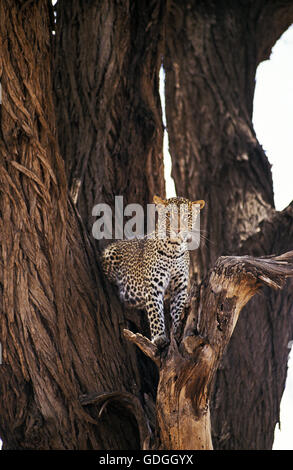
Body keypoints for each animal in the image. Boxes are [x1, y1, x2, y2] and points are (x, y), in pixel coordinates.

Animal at [101, 195, 204, 346]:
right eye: (168, 215)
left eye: (187, 216)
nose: (178, 230)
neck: (174, 250)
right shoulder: (153, 286)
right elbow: (155, 311)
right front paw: (159, 338)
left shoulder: (179, 287)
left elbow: (178, 309)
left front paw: (178, 328)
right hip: (110, 253)